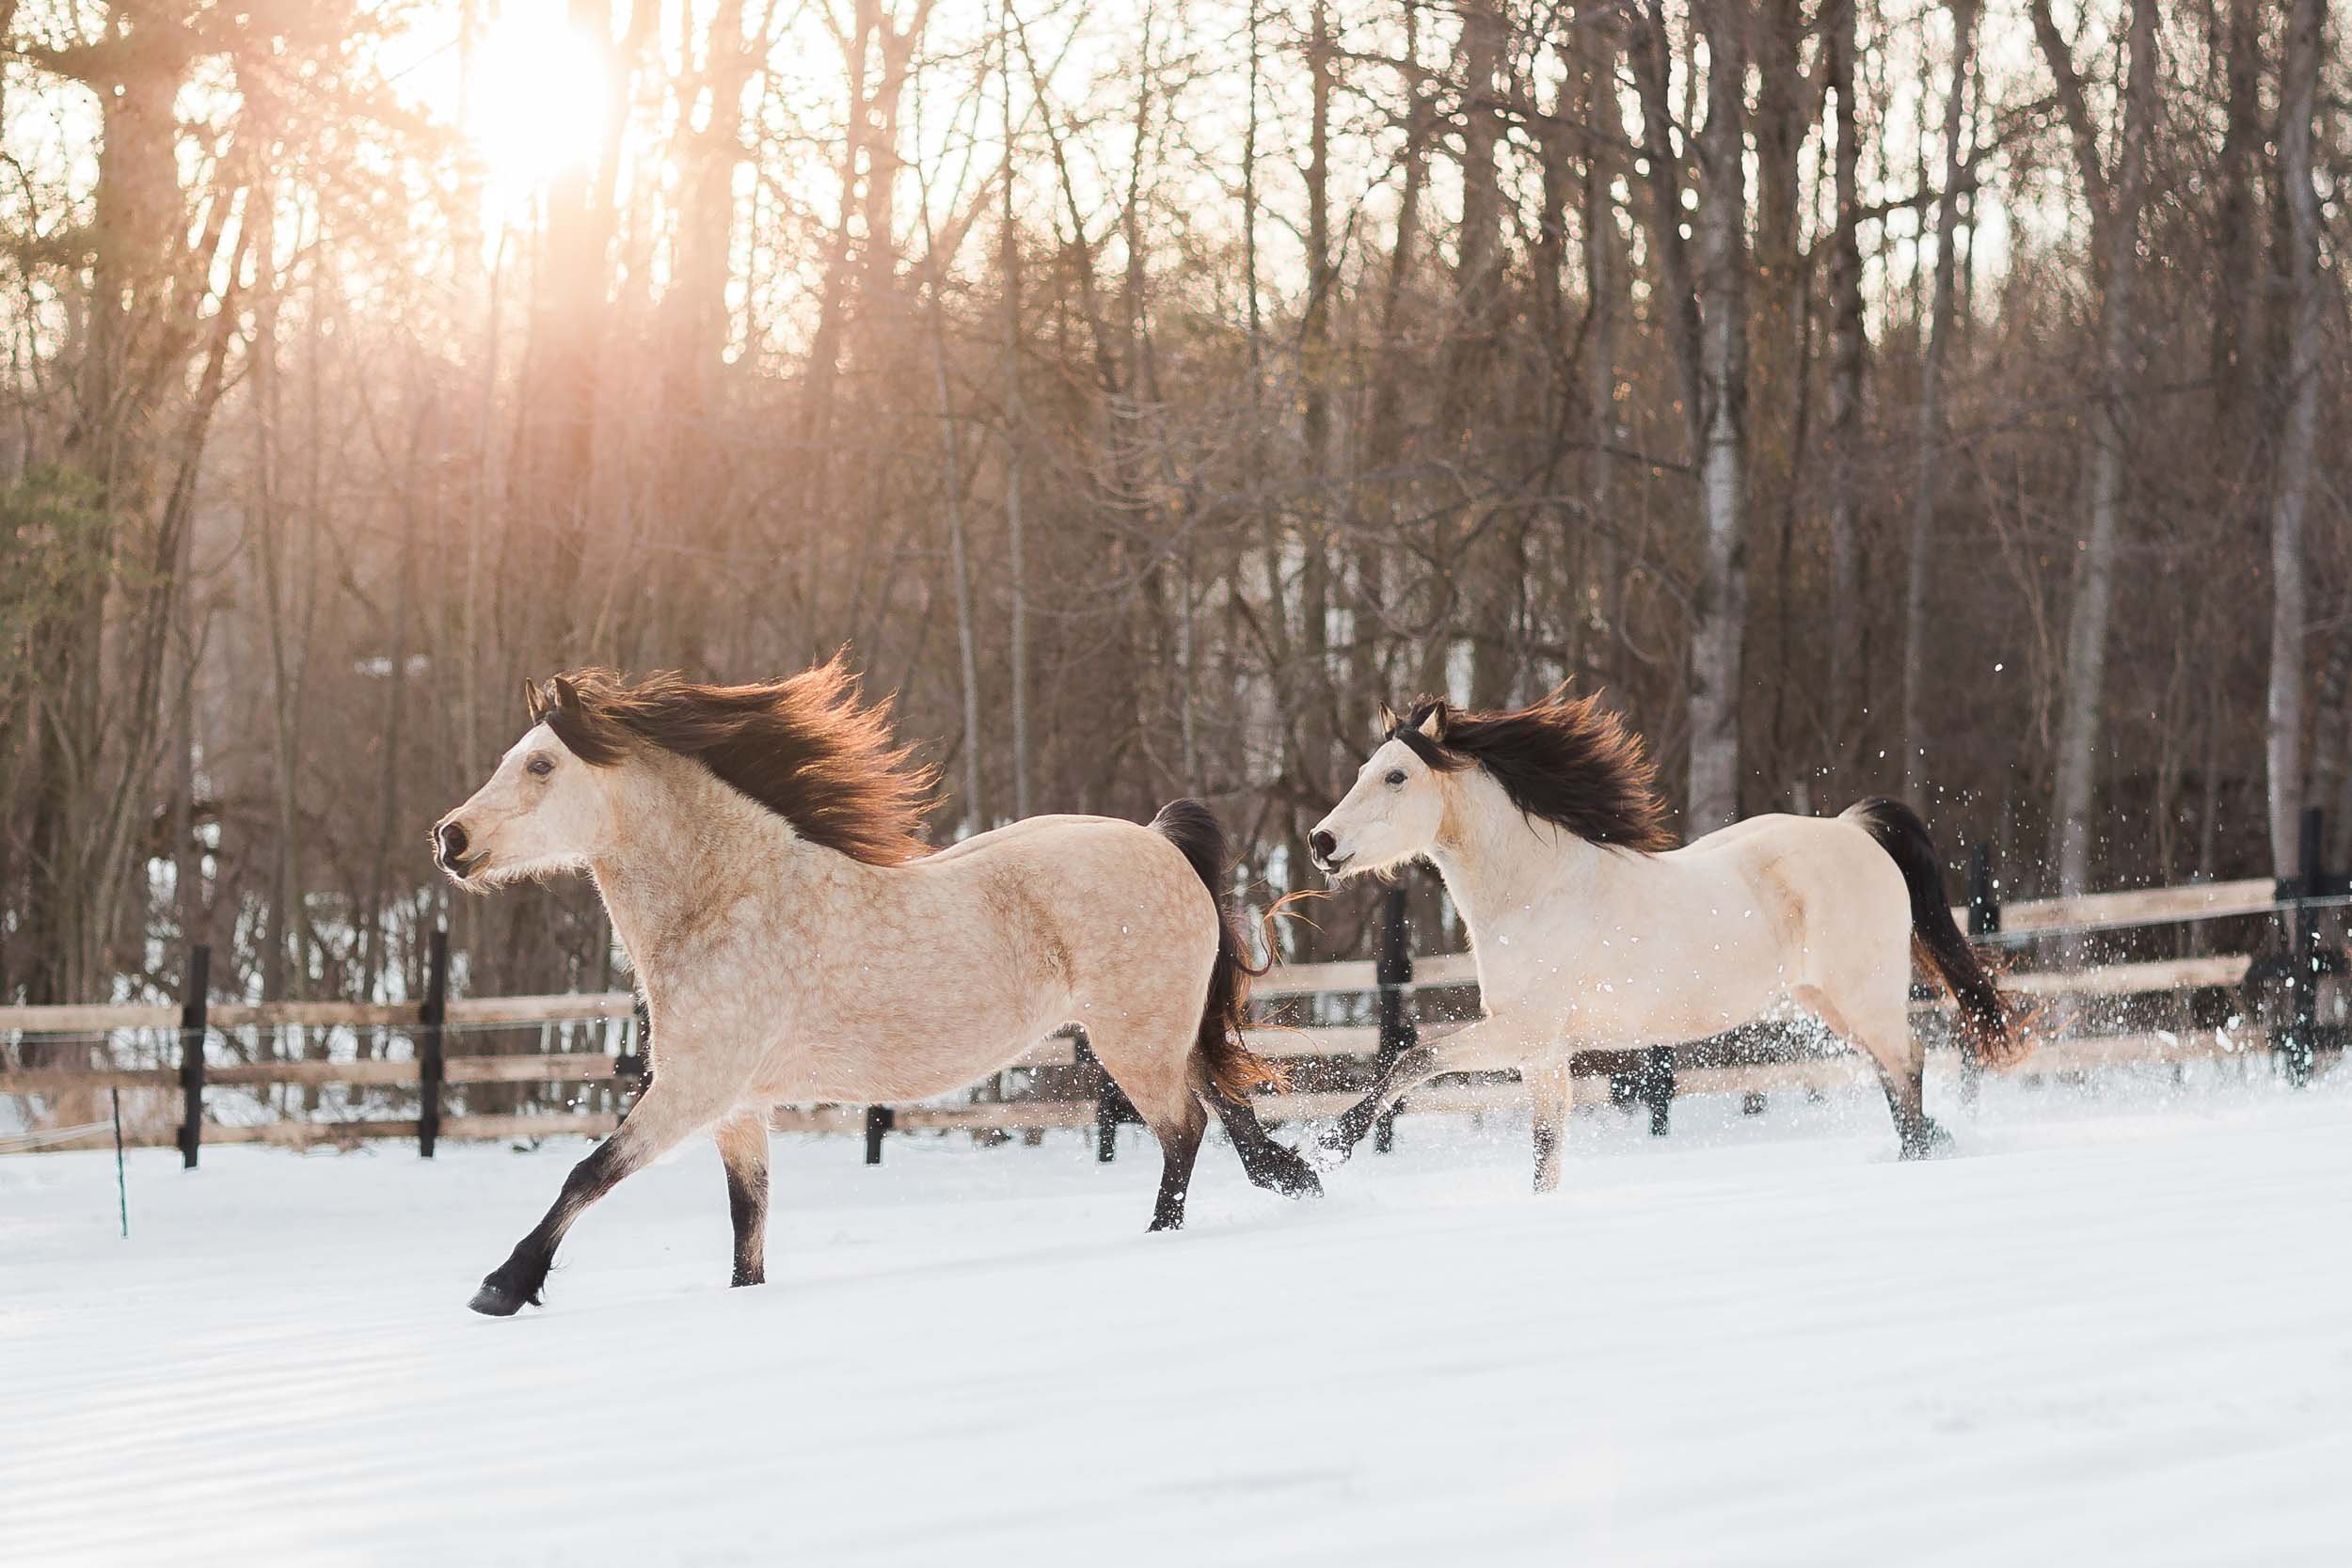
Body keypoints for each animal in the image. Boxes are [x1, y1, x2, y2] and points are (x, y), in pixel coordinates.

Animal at [437, 657, 1327, 1316]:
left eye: (541, 763)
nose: (449, 837)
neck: (729, 898)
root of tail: (1160, 841)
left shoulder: (694, 1089)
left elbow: (590, 1171)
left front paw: (501, 1286)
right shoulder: (737, 1106)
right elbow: (748, 1224)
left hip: (1133, 1042)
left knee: (1186, 1128)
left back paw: (1159, 1235)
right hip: (1160, 1032)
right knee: (1228, 1106)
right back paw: (1293, 1180)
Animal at [1308, 690, 2023, 1184]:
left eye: (1396, 775)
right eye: (1366, 768)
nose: (1321, 842)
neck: (1538, 891)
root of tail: (1855, 828)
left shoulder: (1525, 1031)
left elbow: (1411, 1059)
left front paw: (1327, 1149)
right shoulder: (1542, 1054)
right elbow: (1545, 1154)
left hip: (1865, 997)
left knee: (1907, 1065)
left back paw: (1917, 1159)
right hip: (1830, 1002)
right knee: (1893, 1070)